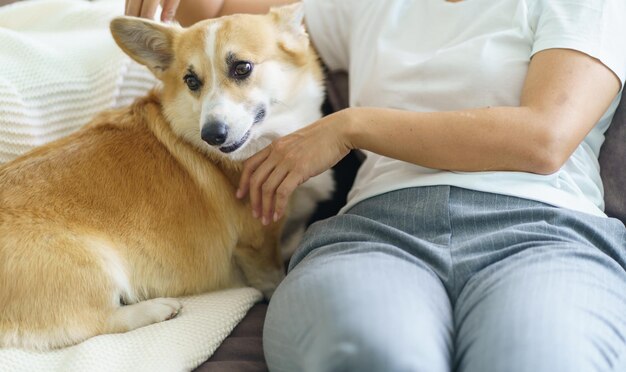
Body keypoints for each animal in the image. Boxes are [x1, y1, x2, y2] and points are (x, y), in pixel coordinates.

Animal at [0, 4, 332, 350]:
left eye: (242, 68)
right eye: (191, 80)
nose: (212, 134)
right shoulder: (258, 245)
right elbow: (273, 279)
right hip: (95, 266)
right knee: (96, 323)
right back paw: (157, 309)